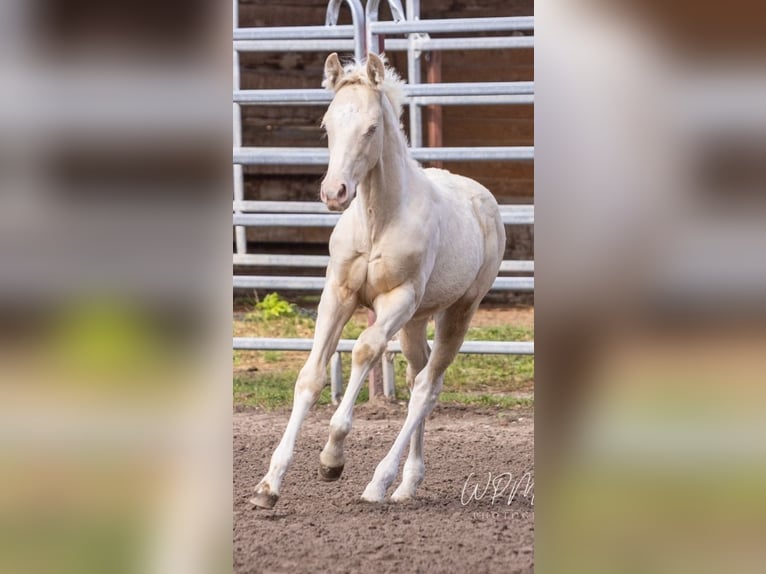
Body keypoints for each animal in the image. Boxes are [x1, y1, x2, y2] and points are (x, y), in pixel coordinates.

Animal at [251, 52, 505, 508]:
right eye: (326, 125)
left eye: (371, 128)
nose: (334, 192)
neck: (378, 219)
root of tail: (484, 200)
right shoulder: (338, 293)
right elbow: (311, 375)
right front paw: (269, 485)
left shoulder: (397, 299)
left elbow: (364, 351)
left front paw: (332, 459)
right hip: (417, 321)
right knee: (418, 376)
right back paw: (406, 485)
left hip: (458, 311)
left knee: (426, 388)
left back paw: (379, 483)